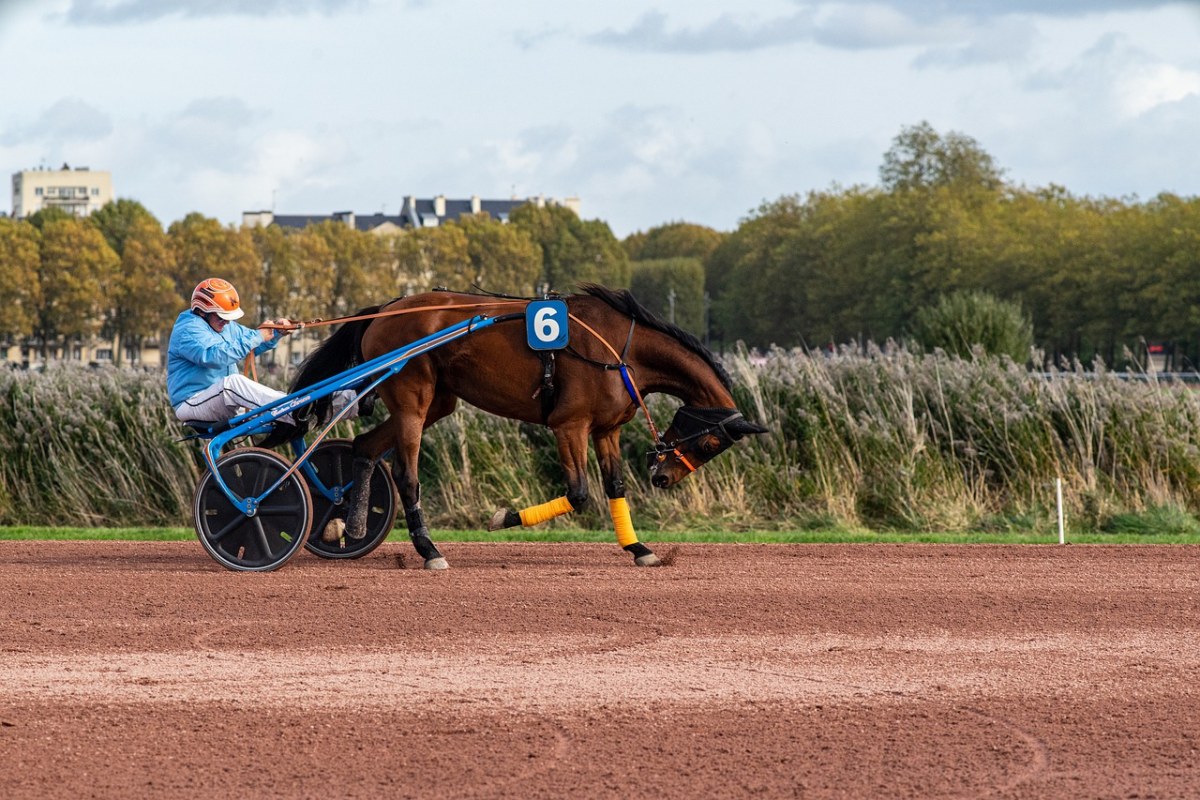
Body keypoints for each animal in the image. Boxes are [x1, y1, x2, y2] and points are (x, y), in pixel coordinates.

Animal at [285, 283, 763, 568]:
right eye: (711, 443)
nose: (664, 477)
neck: (619, 349)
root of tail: (385, 309)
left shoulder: (606, 429)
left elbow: (615, 487)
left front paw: (639, 548)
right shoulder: (570, 425)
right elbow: (578, 492)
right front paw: (502, 517)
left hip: (439, 401)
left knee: (365, 446)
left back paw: (349, 525)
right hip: (411, 401)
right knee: (406, 474)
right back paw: (428, 549)